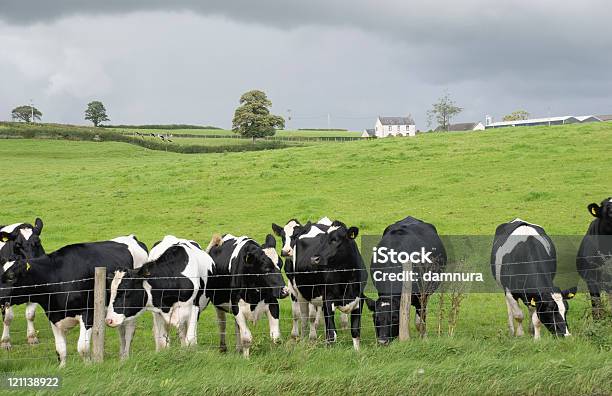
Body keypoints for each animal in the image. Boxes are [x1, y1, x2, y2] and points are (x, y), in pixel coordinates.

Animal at [0, 218, 45, 348]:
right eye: (17, 245)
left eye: (38, 241)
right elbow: (8, 318)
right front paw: (5, 342)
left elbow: (30, 315)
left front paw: (32, 338)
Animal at [0, 235, 148, 368]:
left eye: (11, 276)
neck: (56, 276)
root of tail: (132, 238)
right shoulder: (53, 316)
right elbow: (60, 349)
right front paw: (62, 368)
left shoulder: (88, 313)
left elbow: (82, 347)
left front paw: (88, 366)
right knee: (121, 330)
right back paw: (122, 356)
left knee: (129, 331)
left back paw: (125, 357)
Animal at [290, 220, 366, 350]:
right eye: (322, 240)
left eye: (335, 240)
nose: (314, 259)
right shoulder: (328, 299)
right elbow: (331, 334)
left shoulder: (359, 299)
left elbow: (355, 331)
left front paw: (357, 351)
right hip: (300, 293)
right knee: (304, 319)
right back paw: (304, 340)